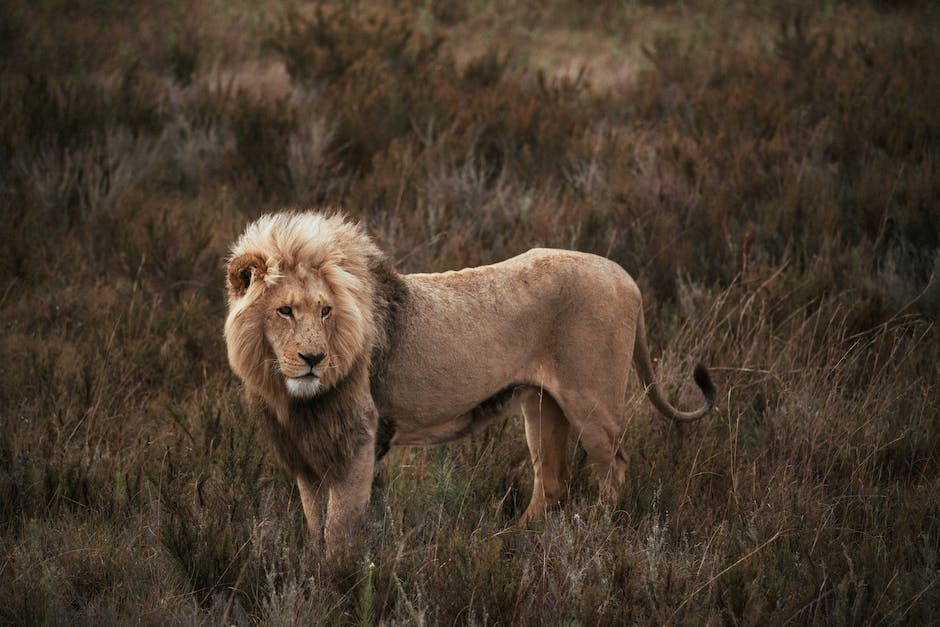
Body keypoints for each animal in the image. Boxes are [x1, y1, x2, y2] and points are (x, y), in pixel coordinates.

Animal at [224, 210, 716, 548]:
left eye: (326, 310)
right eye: (285, 311)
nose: (313, 358)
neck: (294, 396)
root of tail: (626, 276)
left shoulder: (359, 441)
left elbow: (339, 529)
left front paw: (336, 582)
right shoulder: (305, 451)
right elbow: (315, 524)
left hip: (591, 403)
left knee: (613, 467)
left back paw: (597, 534)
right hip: (542, 405)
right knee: (552, 480)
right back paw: (511, 540)